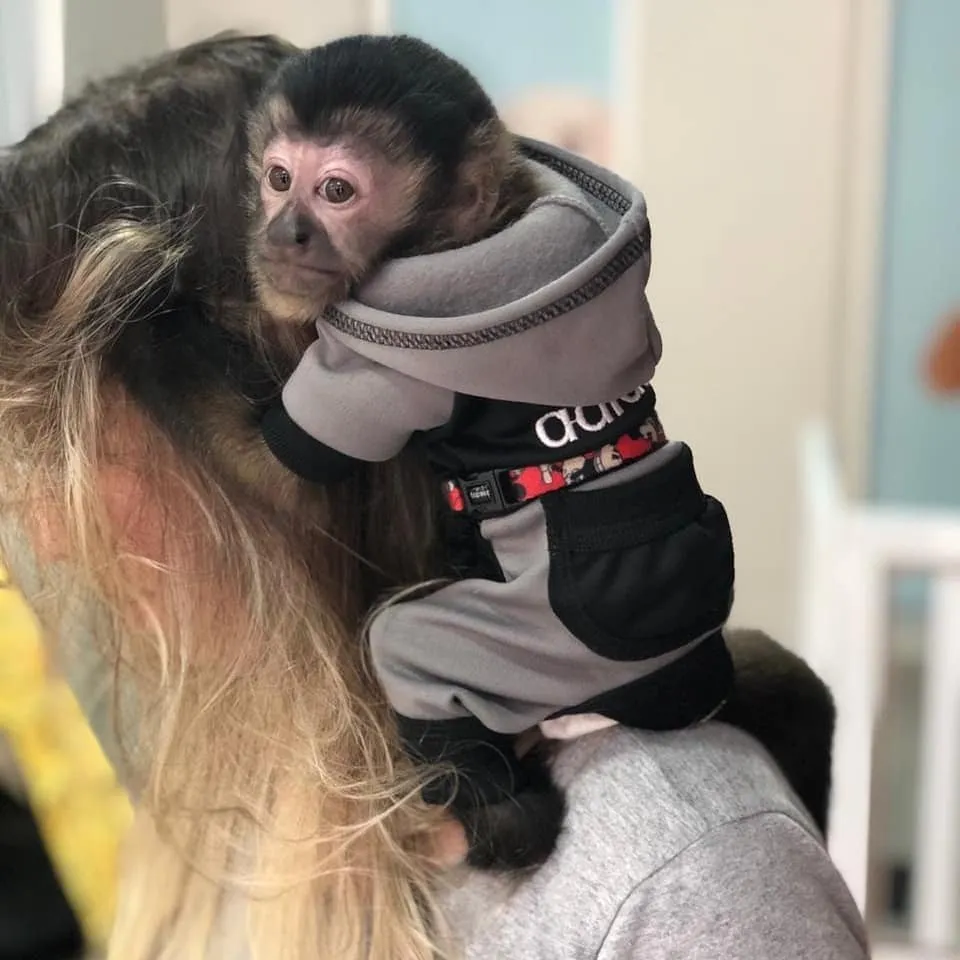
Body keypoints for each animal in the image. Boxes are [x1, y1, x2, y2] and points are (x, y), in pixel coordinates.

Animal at [0, 31, 835, 957]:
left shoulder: (387, 349)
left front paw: (154, 319)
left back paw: (496, 814)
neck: (499, 235)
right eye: (278, 177)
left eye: (336, 190)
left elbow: (291, 467)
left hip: (545, 643)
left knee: (412, 648)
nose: (283, 231)